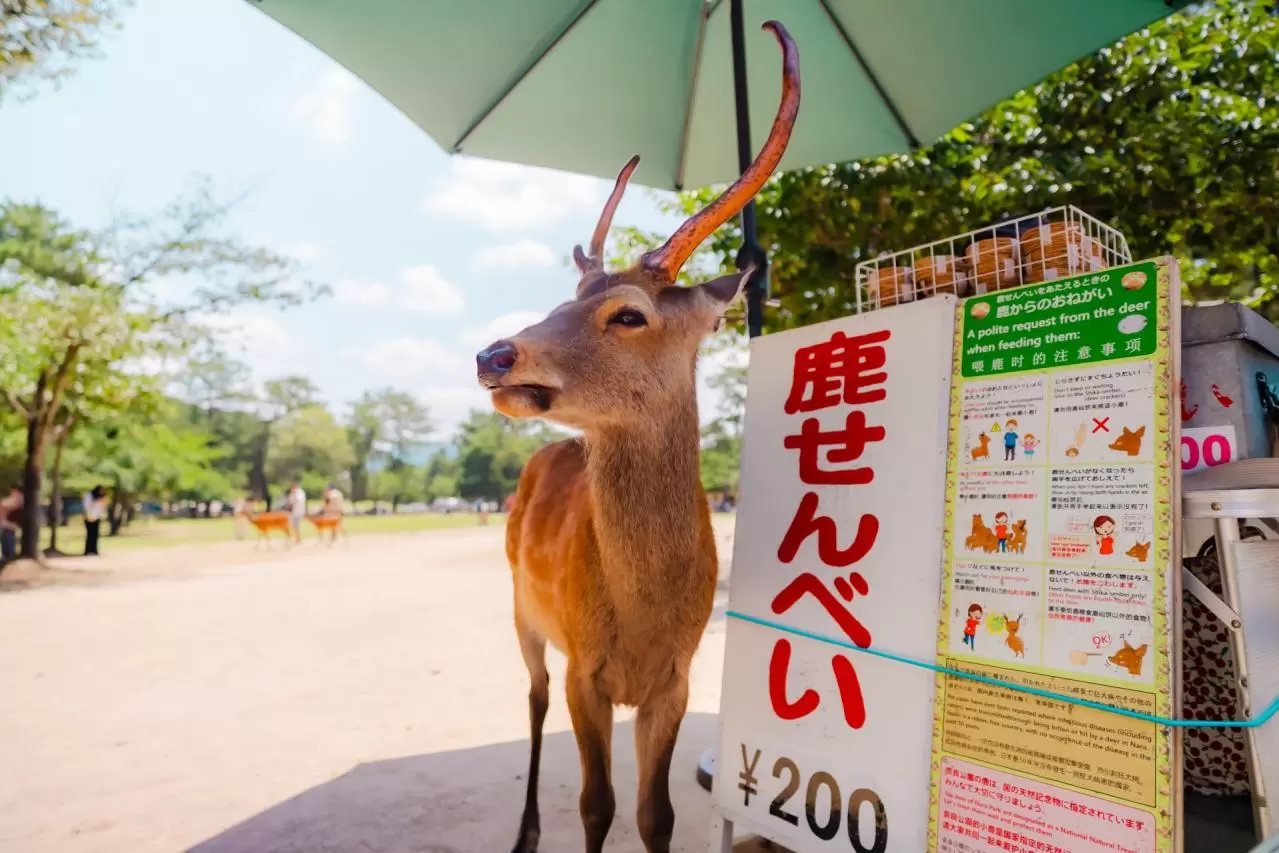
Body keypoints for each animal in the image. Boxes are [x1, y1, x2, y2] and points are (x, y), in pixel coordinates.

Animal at [473, 21, 799, 853]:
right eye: (562, 299)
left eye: (628, 313)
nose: (493, 355)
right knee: (532, 697)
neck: (643, 620)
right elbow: (596, 804)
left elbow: (656, 812)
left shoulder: (675, 680)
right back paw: (523, 831)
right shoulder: (585, 668)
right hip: (519, 607)